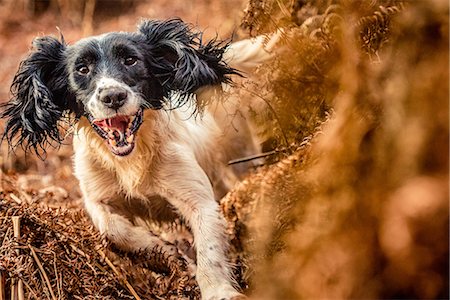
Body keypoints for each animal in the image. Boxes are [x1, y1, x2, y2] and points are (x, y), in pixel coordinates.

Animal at [0, 19, 276, 300]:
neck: (132, 158)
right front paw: (165, 254)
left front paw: (218, 291)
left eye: (131, 60)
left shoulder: (198, 200)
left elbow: (210, 252)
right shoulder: (96, 198)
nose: (113, 96)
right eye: (82, 69)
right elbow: (113, 229)